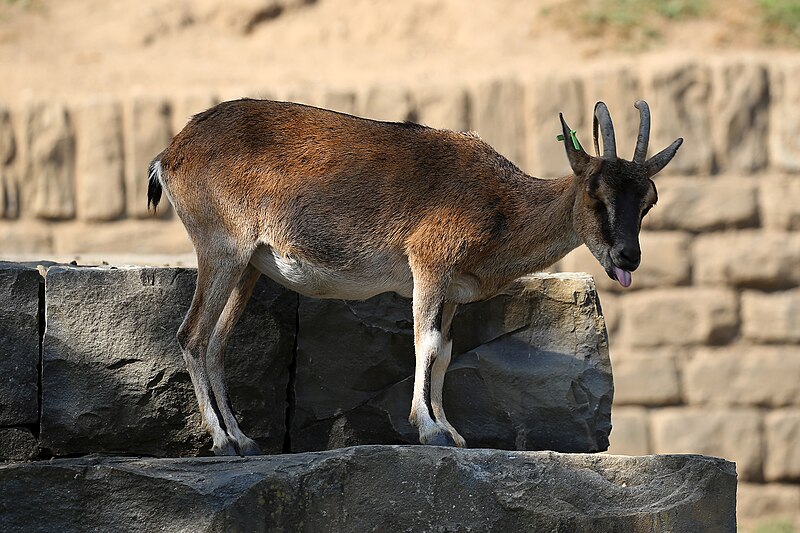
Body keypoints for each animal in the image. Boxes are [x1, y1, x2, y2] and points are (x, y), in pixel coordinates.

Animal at [147, 96, 680, 454]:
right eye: (594, 191)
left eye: (650, 199)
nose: (628, 256)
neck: (501, 205)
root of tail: (169, 155)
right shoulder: (429, 265)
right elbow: (425, 344)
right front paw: (429, 431)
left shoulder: (455, 291)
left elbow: (444, 352)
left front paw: (454, 432)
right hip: (222, 247)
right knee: (192, 335)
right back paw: (222, 442)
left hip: (249, 266)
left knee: (217, 343)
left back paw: (243, 440)